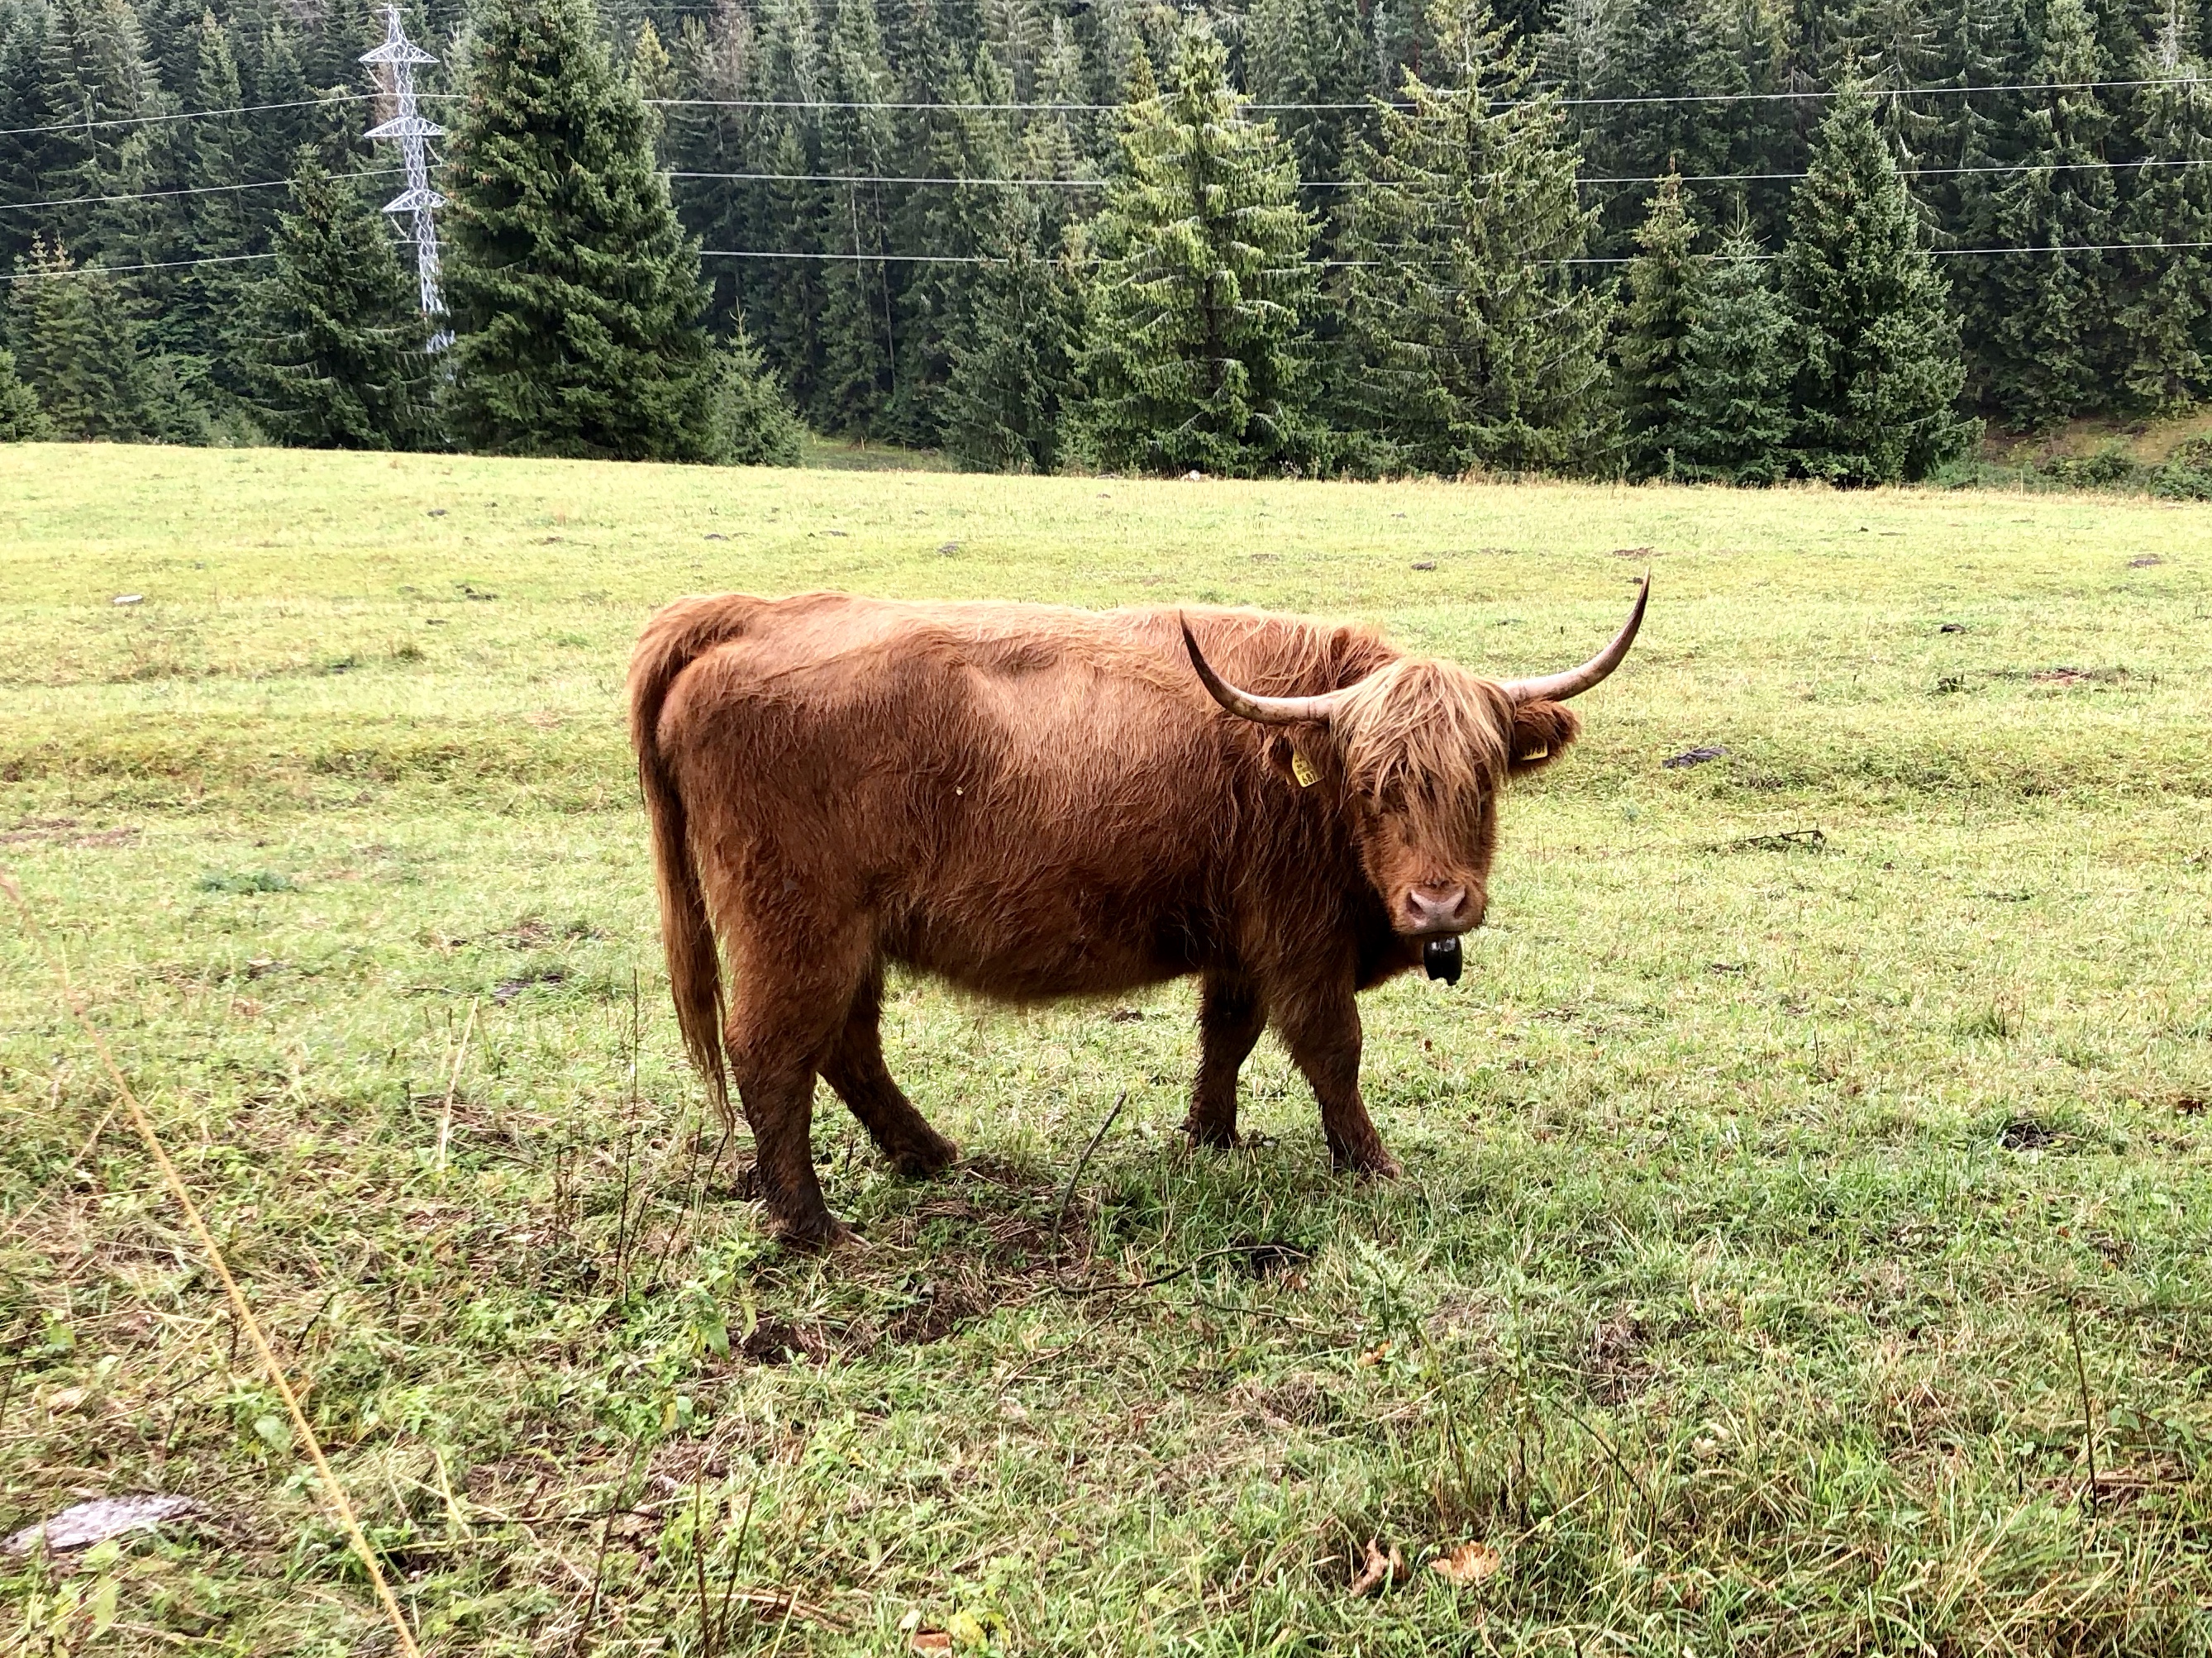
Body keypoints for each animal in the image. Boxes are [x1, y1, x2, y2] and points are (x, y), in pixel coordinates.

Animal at [630, 581, 1647, 1247]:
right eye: (1371, 784)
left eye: (1482, 779)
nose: (1439, 902)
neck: (1301, 778)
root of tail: (752, 614)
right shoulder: (1300, 941)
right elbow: (1332, 1051)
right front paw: (1371, 1164)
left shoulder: (1243, 940)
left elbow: (1227, 1034)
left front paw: (1210, 1137)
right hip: (796, 926)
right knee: (774, 1051)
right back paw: (813, 1225)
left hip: (851, 937)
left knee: (846, 1045)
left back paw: (929, 1154)